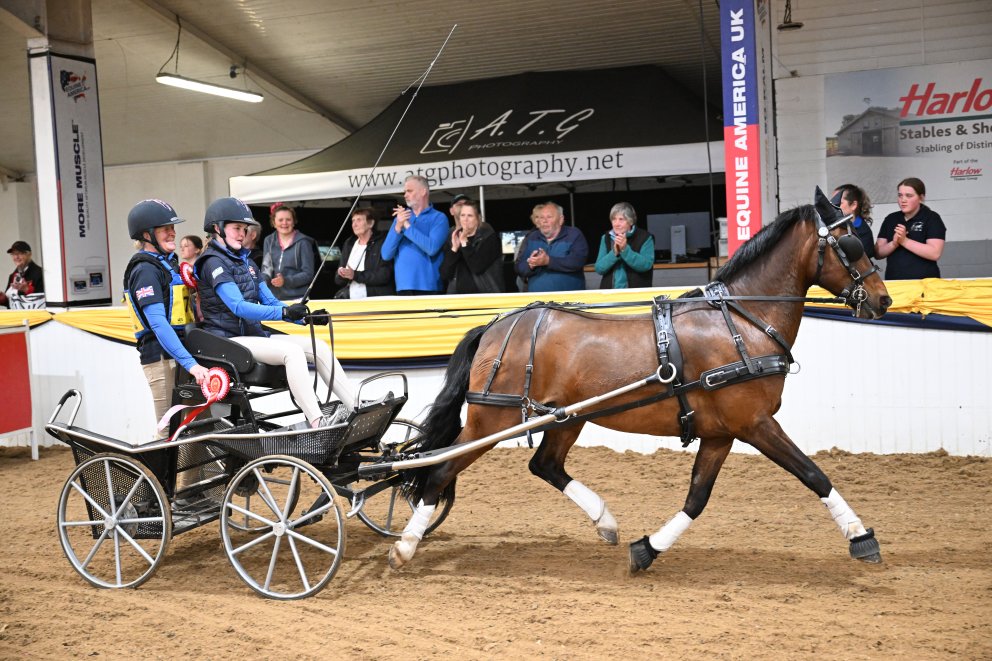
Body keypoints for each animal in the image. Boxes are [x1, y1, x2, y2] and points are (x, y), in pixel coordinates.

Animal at [388, 189, 892, 573]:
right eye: (850, 243)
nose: (883, 300)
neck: (740, 322)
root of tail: (496, 325)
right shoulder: (755, 424)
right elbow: (813, 473)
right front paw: (861, 536)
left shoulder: (721, 433)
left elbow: (697, 498)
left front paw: (646, 549)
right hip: (493, 419)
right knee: (439, 470)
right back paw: (405, 546)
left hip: (566, 418)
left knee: (544, 466)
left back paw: (605, 521)